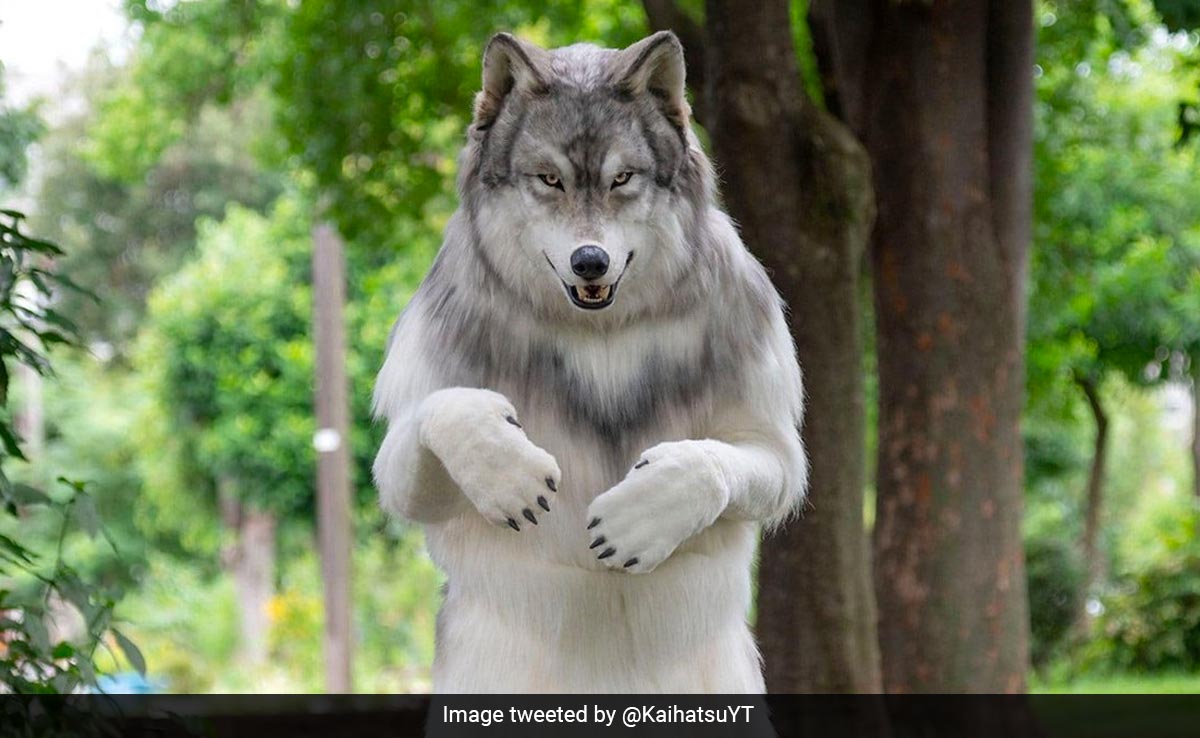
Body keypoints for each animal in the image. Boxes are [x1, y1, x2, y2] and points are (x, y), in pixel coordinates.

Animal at [372, 30, 807, 693]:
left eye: (622, 177)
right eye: (549, 180)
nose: (590, 261)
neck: (598, 332)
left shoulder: (771, 446)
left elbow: (710, 463)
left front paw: (644, 513)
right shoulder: (404, 454)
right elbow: (445, 411)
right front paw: (507, 471)